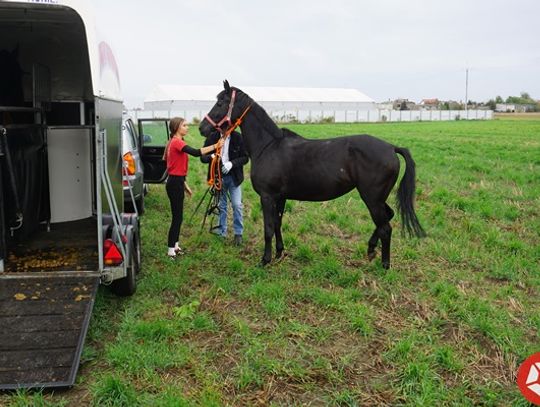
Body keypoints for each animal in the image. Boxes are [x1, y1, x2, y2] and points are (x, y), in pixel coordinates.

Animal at [200, 81, 424, 270]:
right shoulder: (280, 198)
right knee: (388, 218)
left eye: (220, 102)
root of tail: (391, 148)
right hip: (377, 198)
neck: (269, 147)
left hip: (372, 199)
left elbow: (269, 227)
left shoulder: (267, 197)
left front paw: (265, 259)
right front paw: (280, 253)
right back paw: (370, 249)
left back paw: (384, 265)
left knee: (385, 228)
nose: (203, 128)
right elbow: (278, 224)